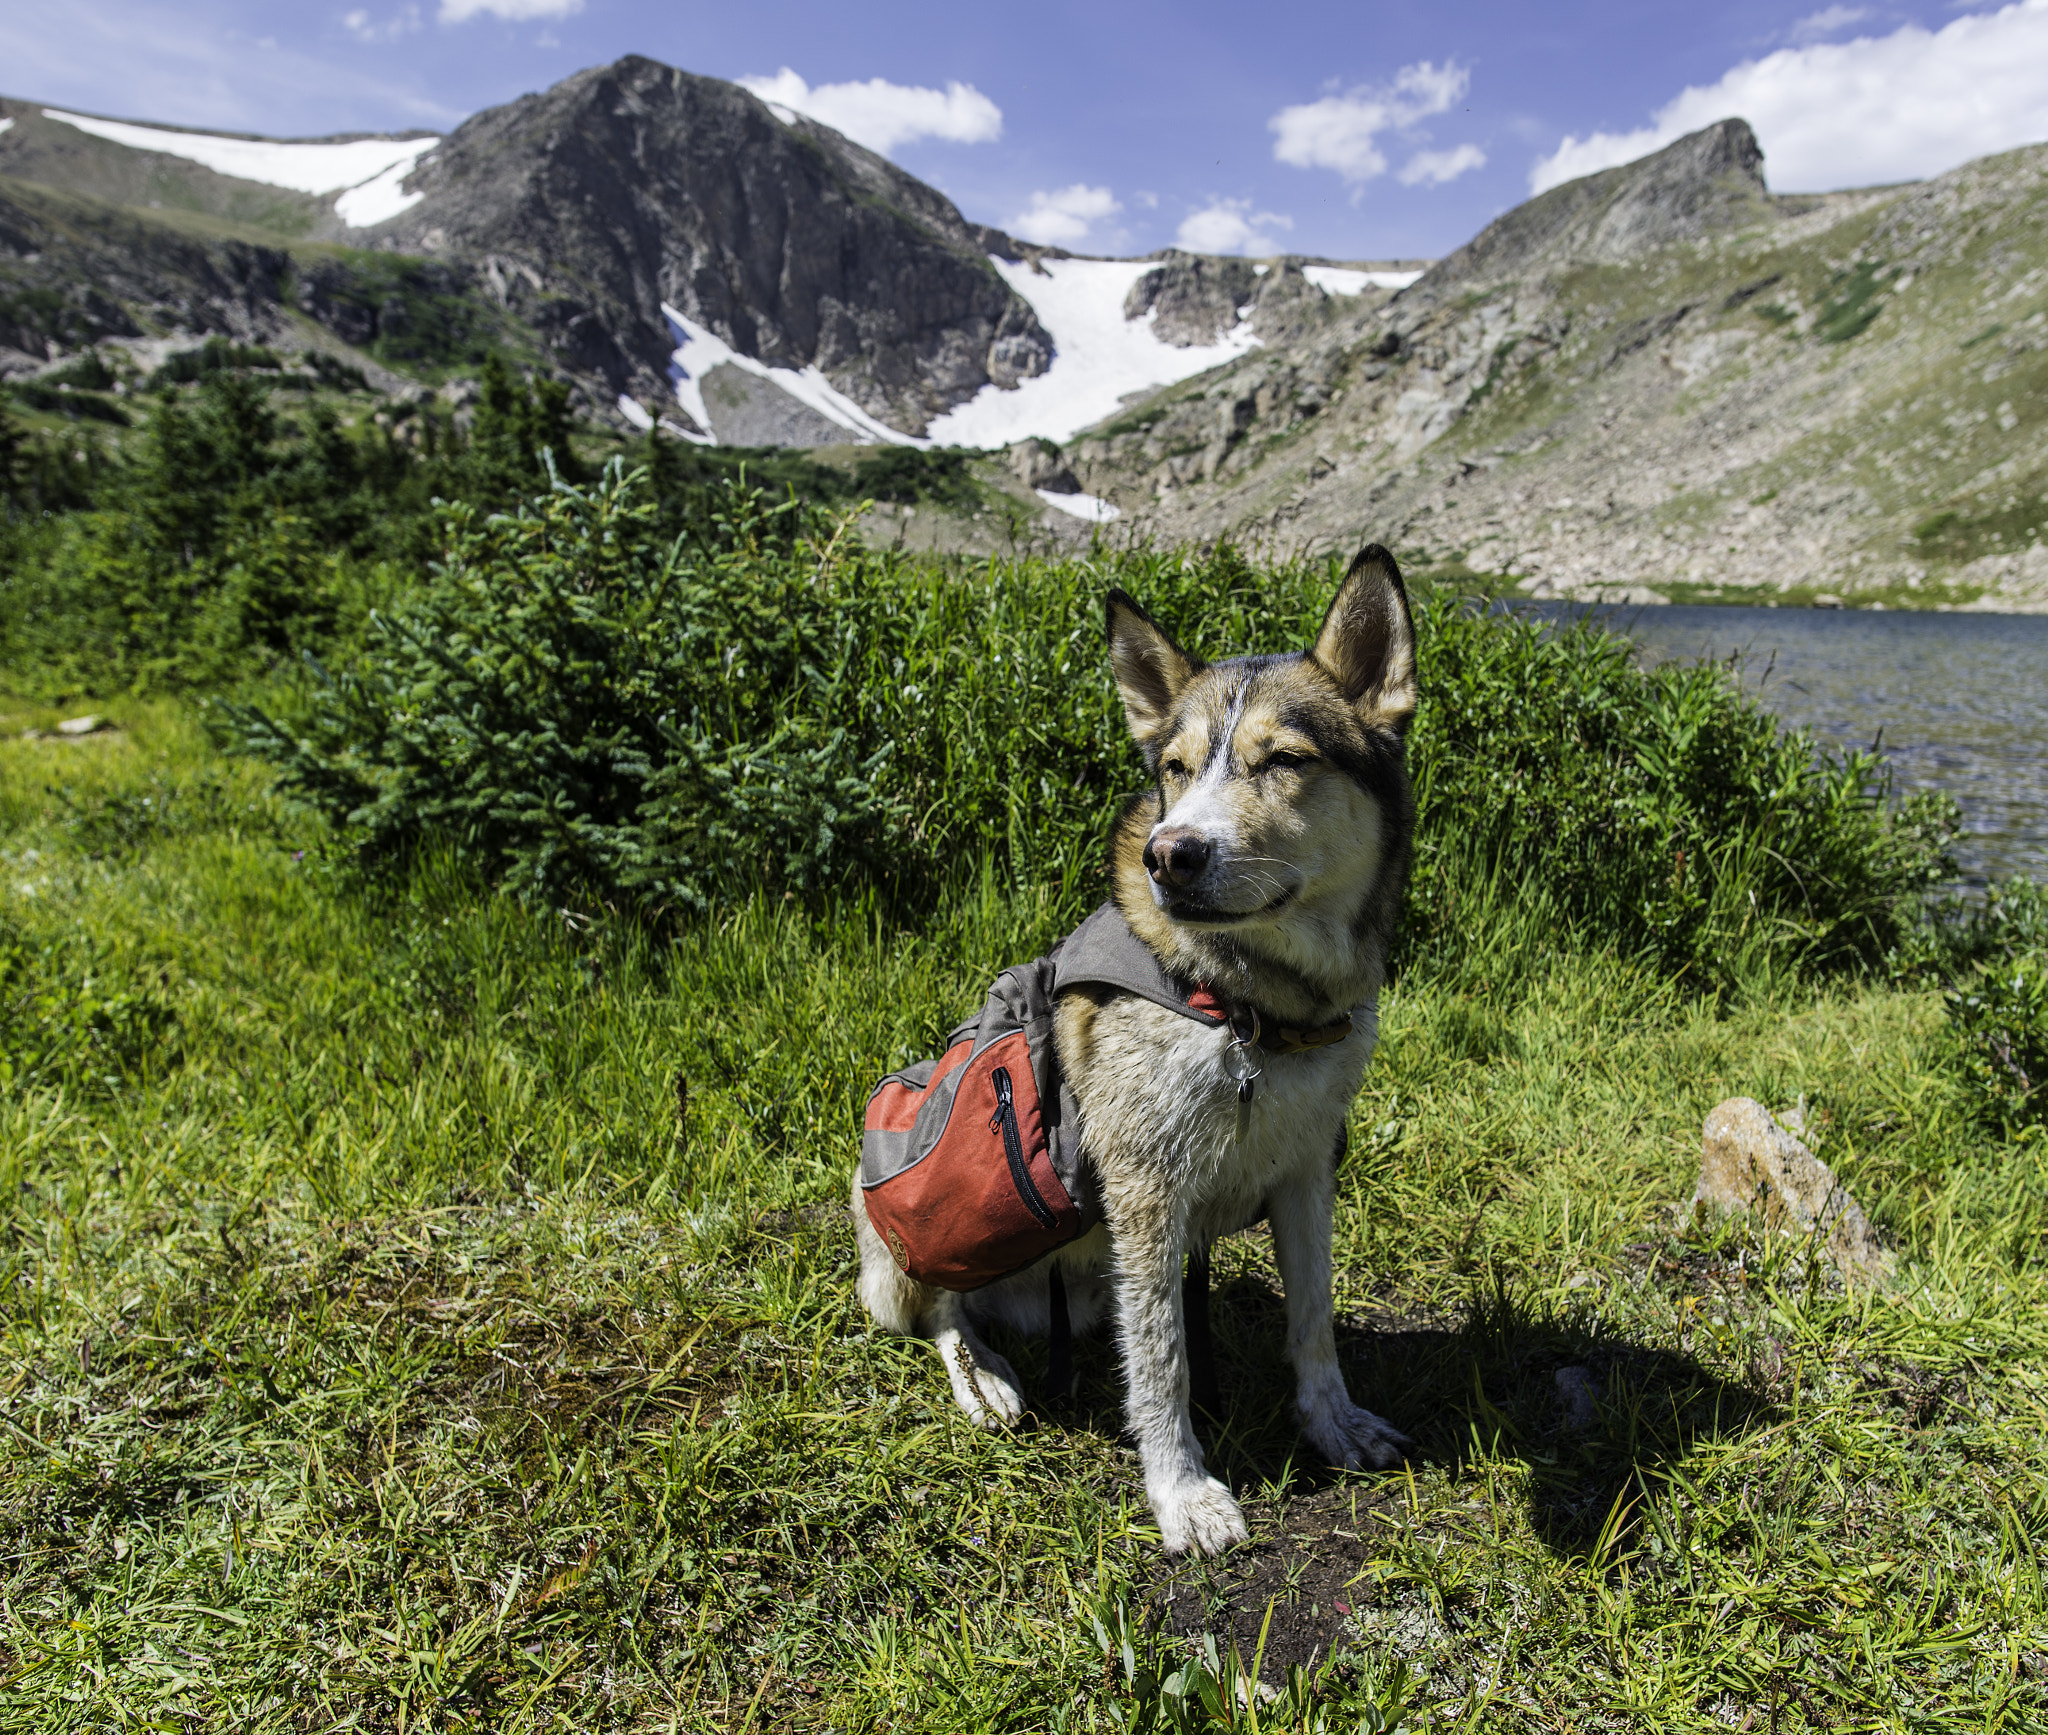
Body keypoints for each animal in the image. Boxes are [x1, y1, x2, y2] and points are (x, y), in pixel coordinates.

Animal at [856, 544, 1417, 1556]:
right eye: (1177, 766)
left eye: (1285, 760)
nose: (1170, 853)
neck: (1252, 1008)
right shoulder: (1149, 1194)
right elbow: (1163, 1364)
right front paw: (1182, 1493)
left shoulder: (1307, 1167)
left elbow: (1314, 1320)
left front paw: (1333, 1422)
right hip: (917, 1246)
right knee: (942, 1309)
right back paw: (985, 1377)